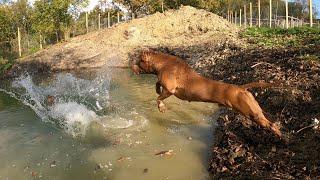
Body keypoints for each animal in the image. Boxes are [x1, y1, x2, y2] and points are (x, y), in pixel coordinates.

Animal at [131, 50, 282, 139]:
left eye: (138, 61)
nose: (132, 66)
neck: (163, 62)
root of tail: (240, 88)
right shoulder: (164, 85)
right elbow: (157, 84)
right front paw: (157, 89)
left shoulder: (170, 89)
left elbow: (158, 98)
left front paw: (161, 107)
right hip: (253, 109)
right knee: (269, 121)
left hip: (249, 111)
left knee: (269, 124)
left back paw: (278, 135)